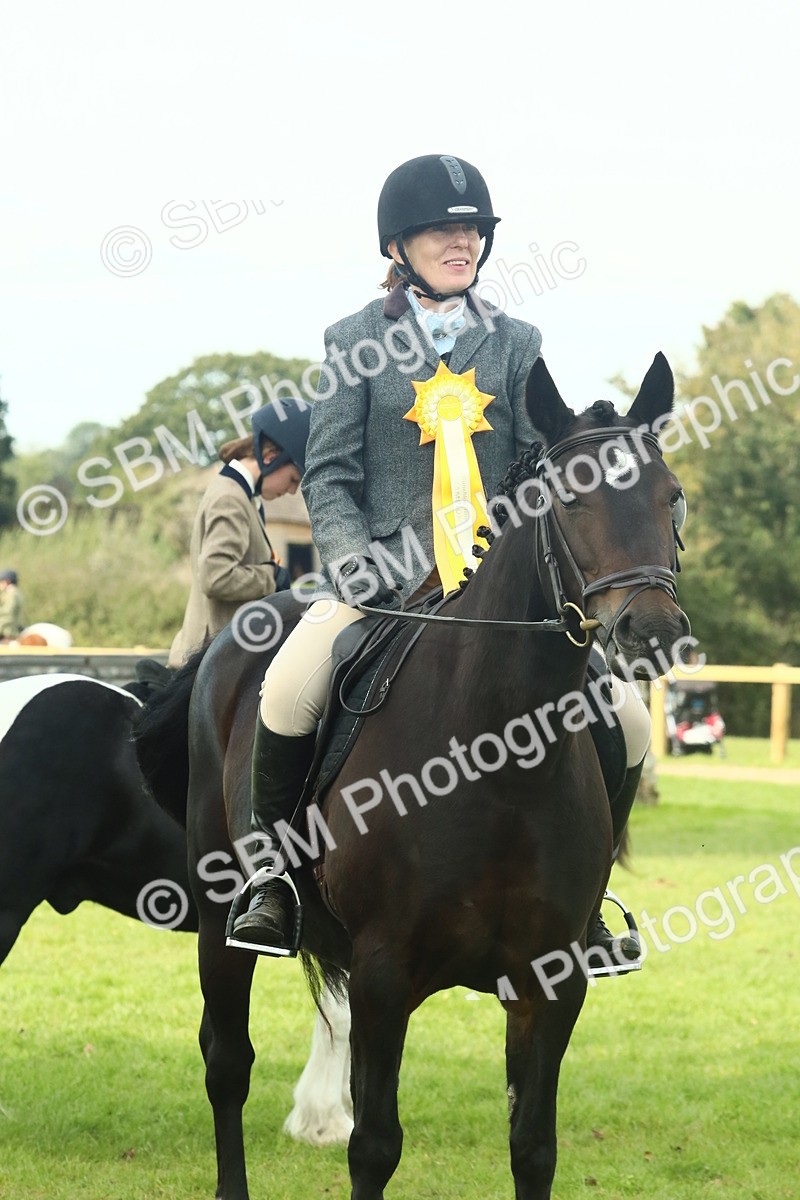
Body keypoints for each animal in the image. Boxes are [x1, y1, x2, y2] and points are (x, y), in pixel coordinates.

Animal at [133, 352, 690, 1199]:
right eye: (570, 499)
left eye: (672, 497)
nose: (652, 631)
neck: (502, 759)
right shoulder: (385, 974)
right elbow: (375, 1147)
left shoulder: (551, 984)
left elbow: (533, 1147)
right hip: (218, 914)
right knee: (226, 1065)